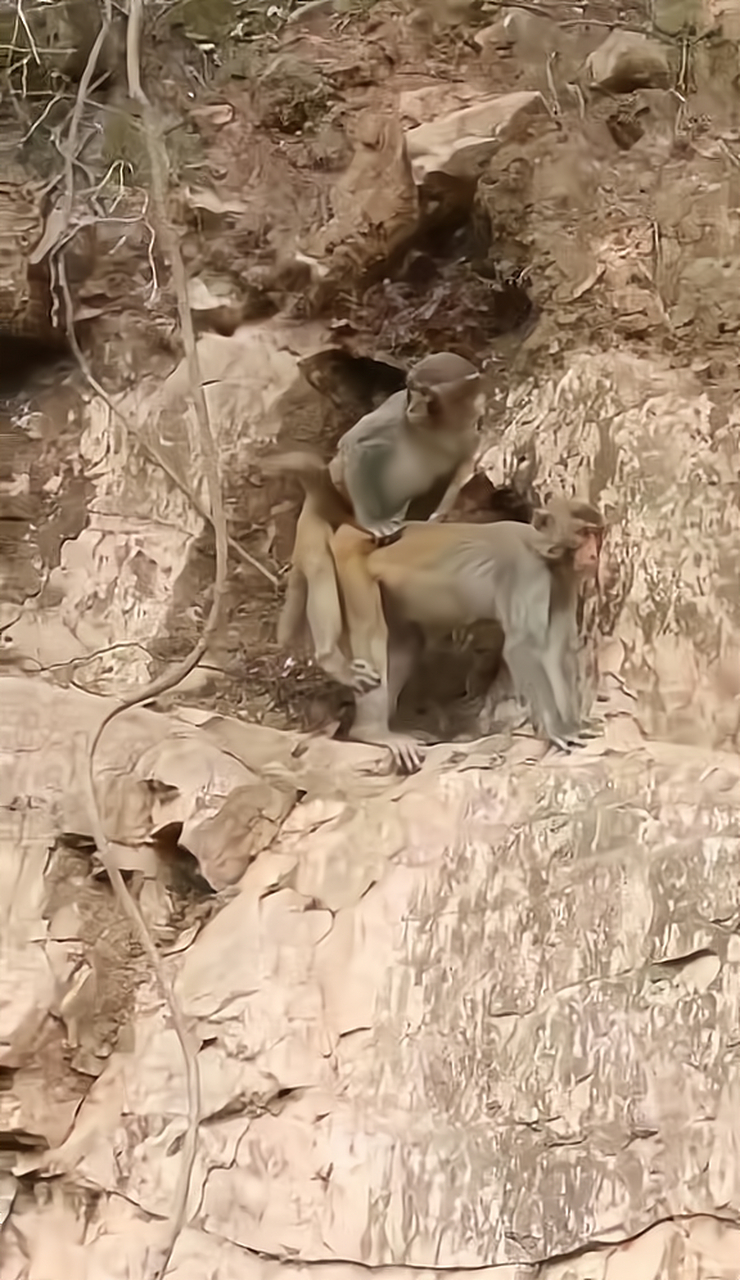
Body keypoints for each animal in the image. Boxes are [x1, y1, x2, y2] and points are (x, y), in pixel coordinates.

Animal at [265, 350, 483, 691]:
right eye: (411, 390)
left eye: (427, 395)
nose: (413, 407)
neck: (436, 431)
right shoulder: (393, 418)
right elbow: (353, 446)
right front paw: (376, 522)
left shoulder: (468, 432)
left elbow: (460, 470)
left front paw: (439, 514)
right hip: (323, 510)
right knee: (326, 559)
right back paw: (332, 659)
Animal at [327, 499, 604, 768]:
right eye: (583, 533)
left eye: (596, 534)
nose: (593, 554)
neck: (543, 551)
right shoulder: (528, 572)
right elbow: (522, 647)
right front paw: (559, 730)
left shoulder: (563, 578)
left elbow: (556, 649)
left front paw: (572, 725)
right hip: (354, 569)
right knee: (371, 634)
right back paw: (371, 731)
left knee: (406, 647)